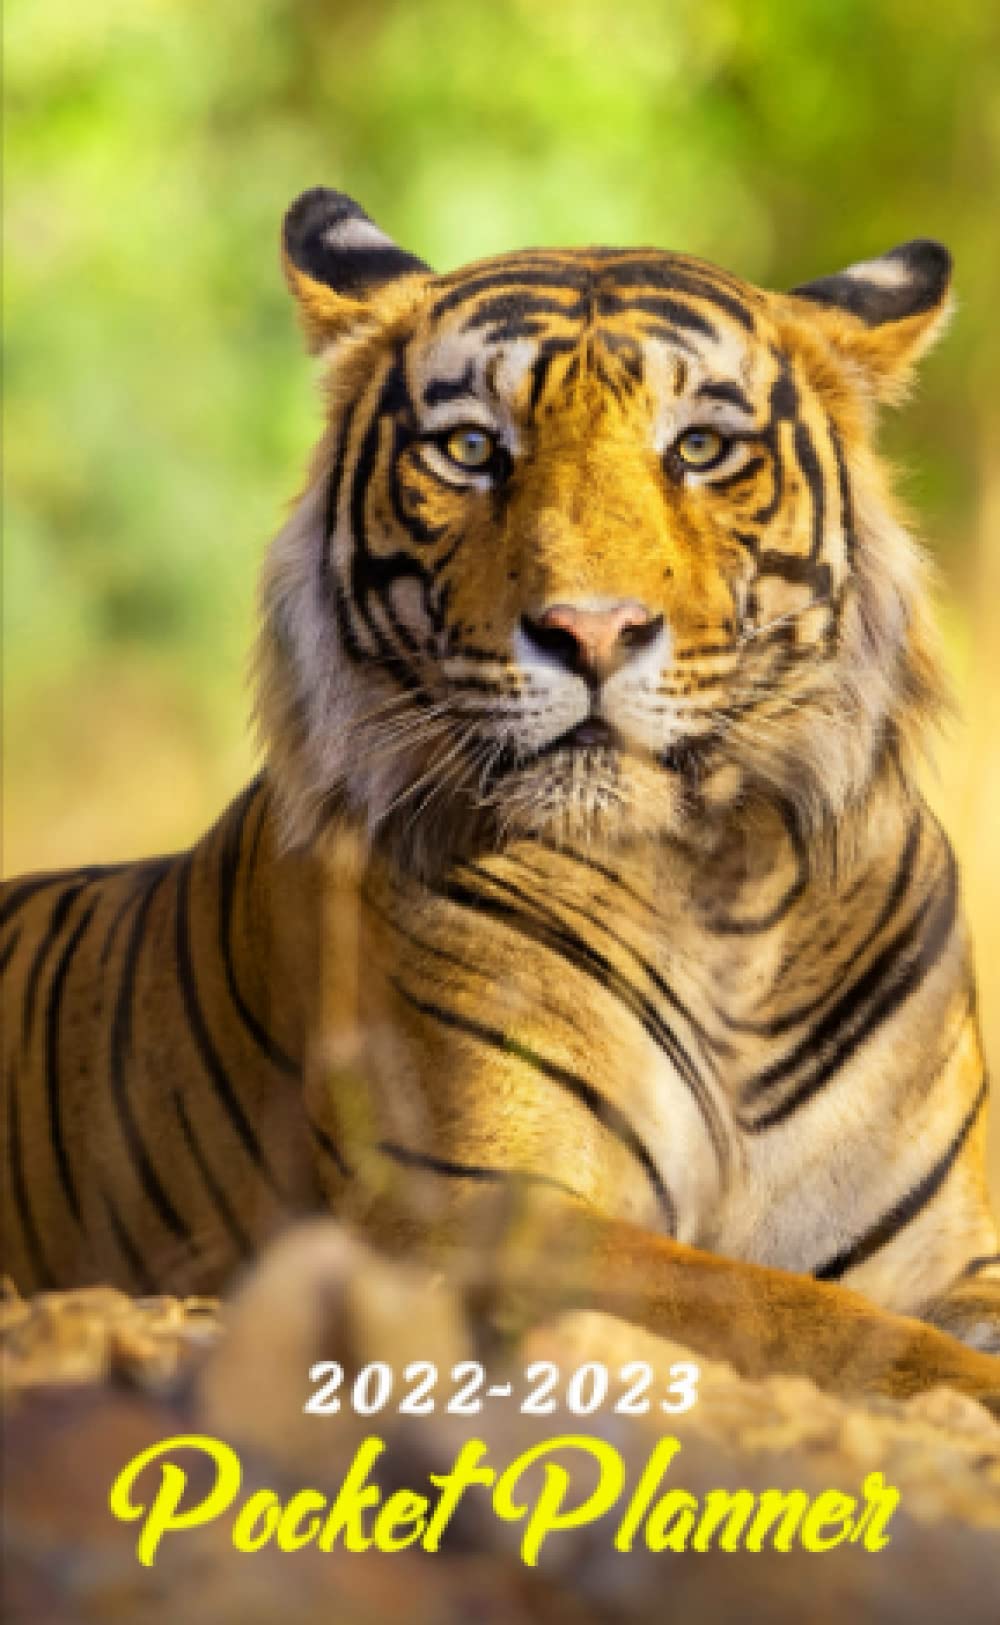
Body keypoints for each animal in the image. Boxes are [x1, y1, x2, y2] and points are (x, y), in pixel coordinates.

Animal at [3, 187, 1000, 1408]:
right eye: (473, 449)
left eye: (700, 448)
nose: (590, 630)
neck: (716, 896)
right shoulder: (470, 1214)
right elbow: (794, 1312)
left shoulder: (942, 1244)